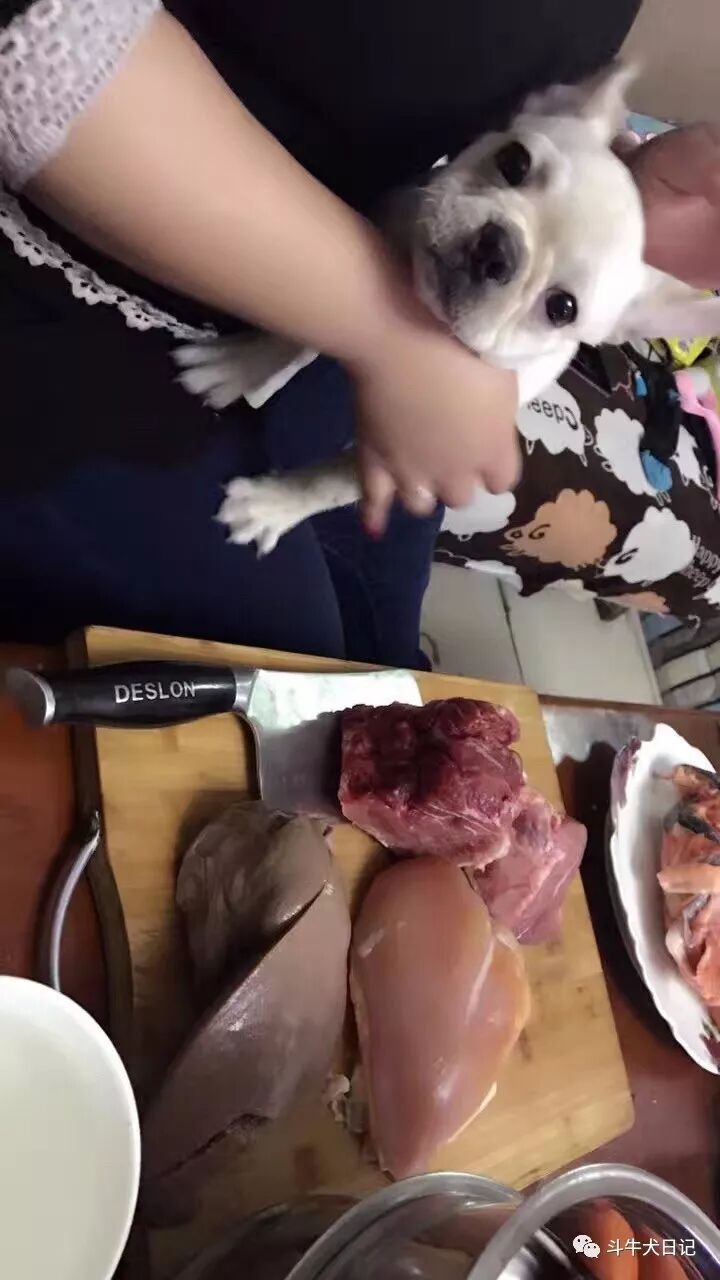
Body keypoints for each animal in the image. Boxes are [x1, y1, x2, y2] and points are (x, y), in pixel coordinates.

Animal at [176, 62, 720, 555]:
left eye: (562, 308)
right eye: (514, 161)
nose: (496, 250)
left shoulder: (429, 457)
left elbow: (329, 482)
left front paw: (271, 505)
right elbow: (306, 325)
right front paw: (238, 366)